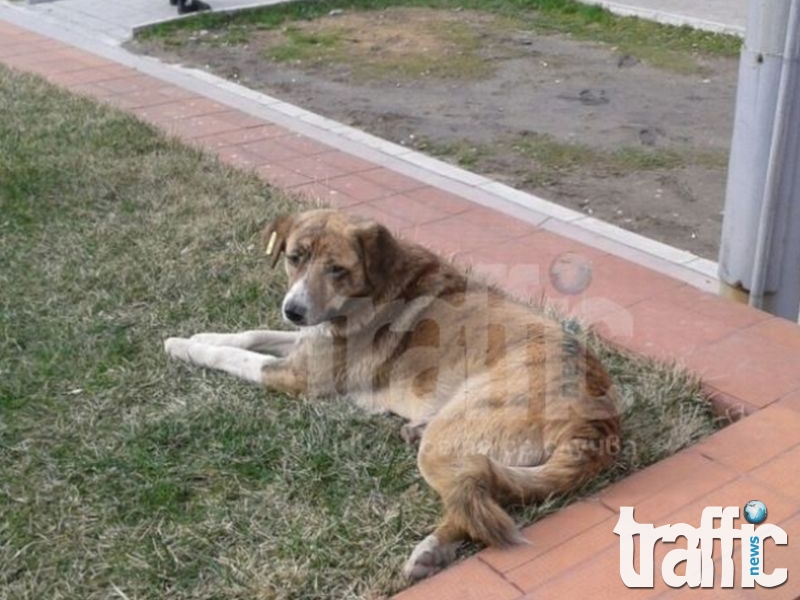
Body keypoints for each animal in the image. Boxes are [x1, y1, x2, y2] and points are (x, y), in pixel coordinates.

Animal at [162, 209, 620, 580]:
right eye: (294, 258)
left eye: (337, 269)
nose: (293, 310)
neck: (370, 286)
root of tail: (598, 416)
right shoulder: (302, 345)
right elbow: (249, 334)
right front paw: (203, 334)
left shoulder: (298, 375)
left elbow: (233, 356)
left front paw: (184, 346)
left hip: (450, 439)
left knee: (476, 497)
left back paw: (431, 548)